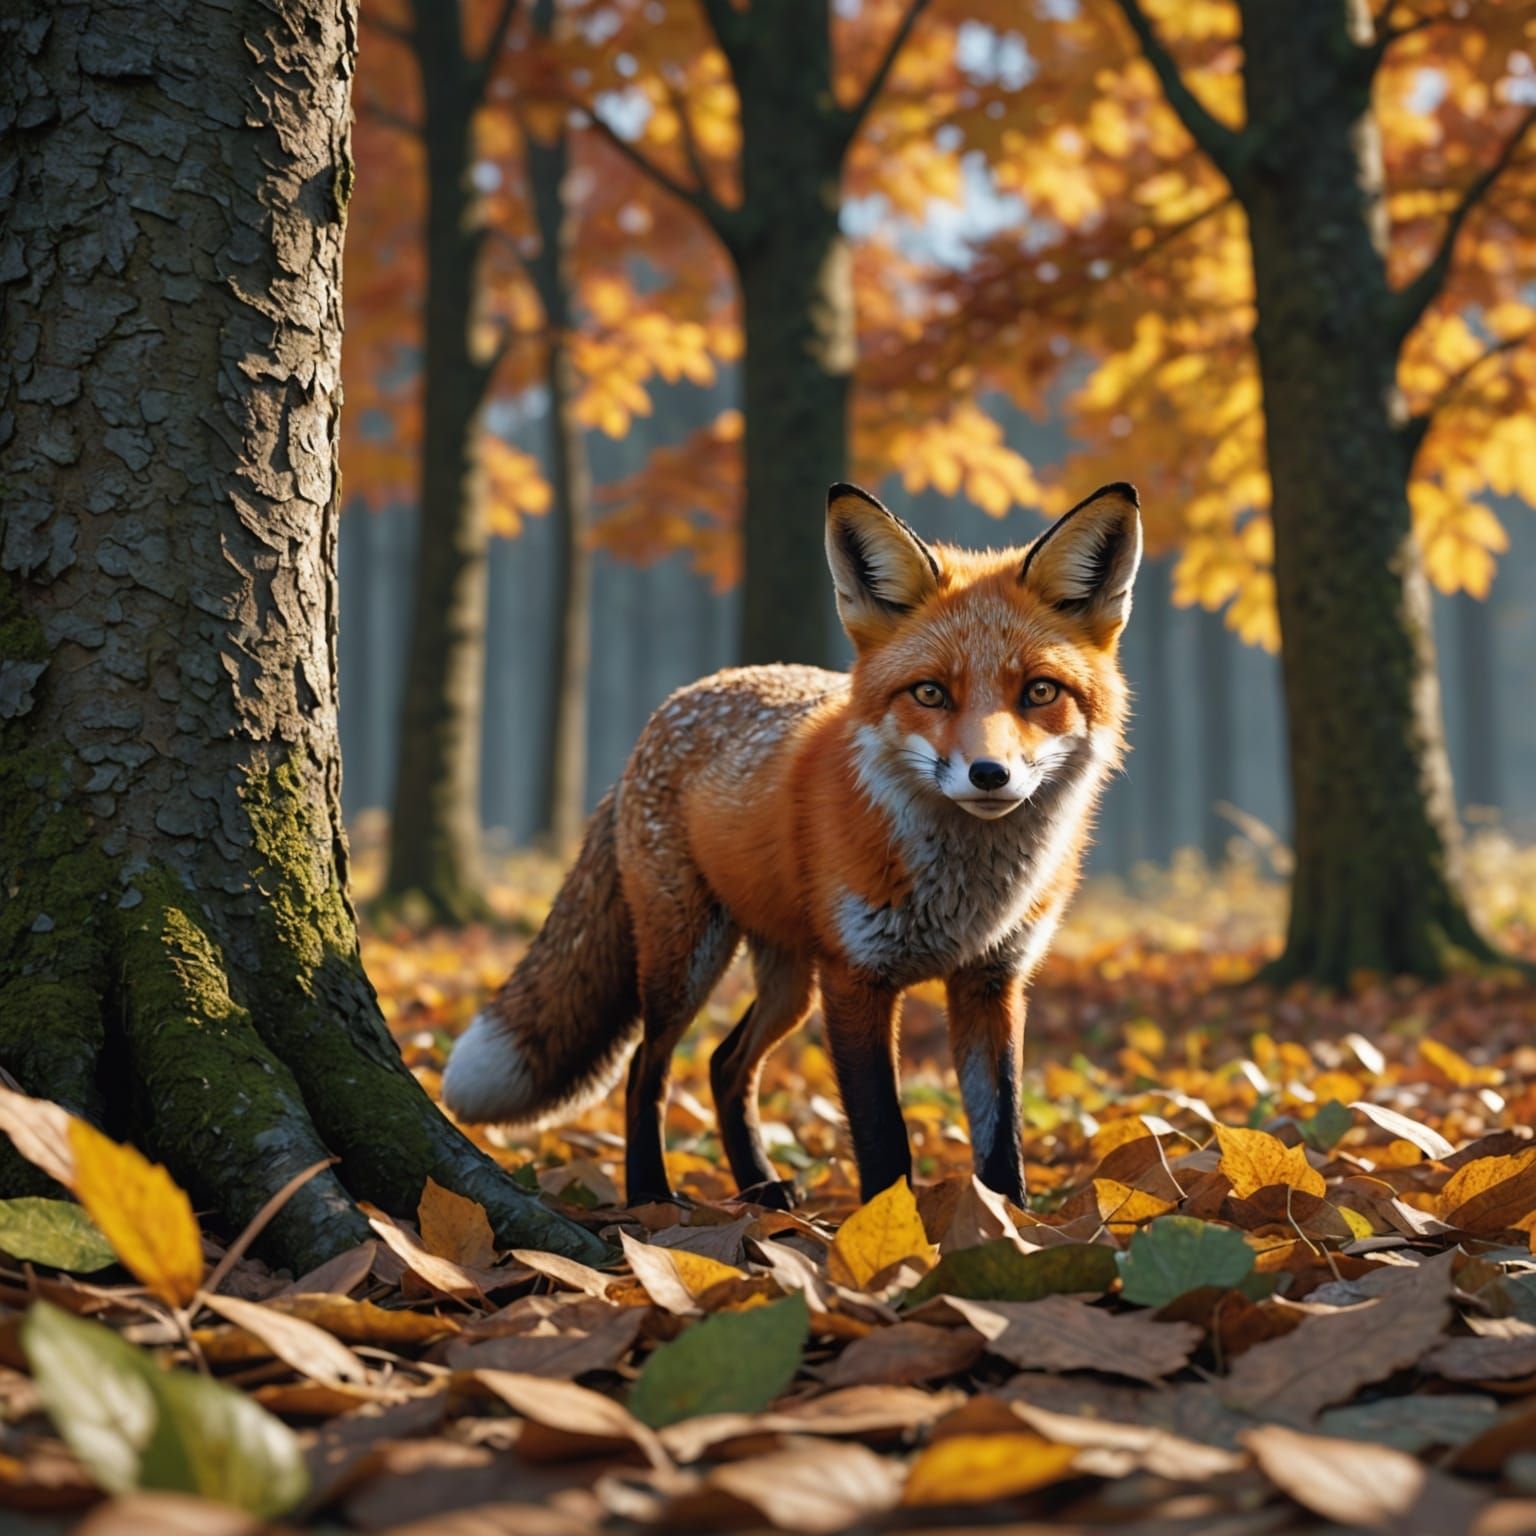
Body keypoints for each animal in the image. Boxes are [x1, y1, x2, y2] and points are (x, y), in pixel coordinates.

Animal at [444, 480, 1142, 1209]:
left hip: (789, 984)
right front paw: (889, 1230)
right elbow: (882, 1133)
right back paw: (652, 1196)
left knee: (724, 1063)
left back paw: (758, 1187)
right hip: (688, 960)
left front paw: (1006, 1226)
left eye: (1039, 692)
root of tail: (669, 709)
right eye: (929, 692)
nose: (990, 774)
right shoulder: (857, 978)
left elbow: (1001, 1136)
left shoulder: (991, 981)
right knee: (645, 1065)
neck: (967, 898)